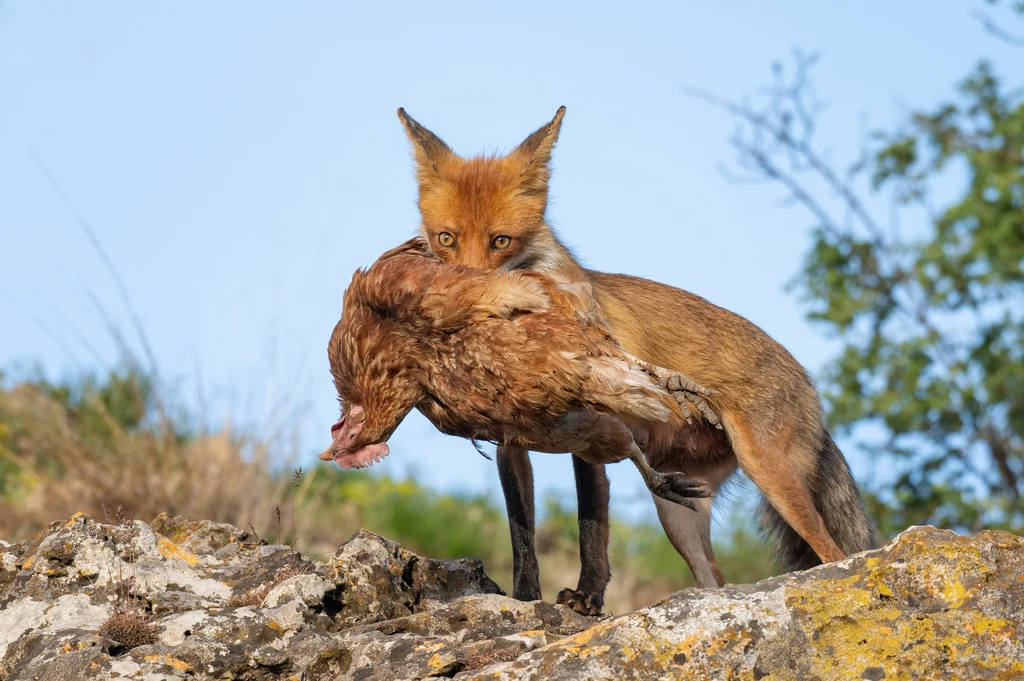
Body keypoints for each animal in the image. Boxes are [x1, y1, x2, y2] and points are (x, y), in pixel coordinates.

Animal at [395, 106, 876, 614]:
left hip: (770, 475)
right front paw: (525, 600)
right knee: (715, 581)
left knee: (834, 554)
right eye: (446, 238)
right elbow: (520, 532)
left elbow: (590, 523)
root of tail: (812, 389)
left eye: (501, 242)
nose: (466, 295)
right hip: (679, 512)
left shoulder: (593, 427)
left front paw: (587, 597)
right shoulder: (511, 443)